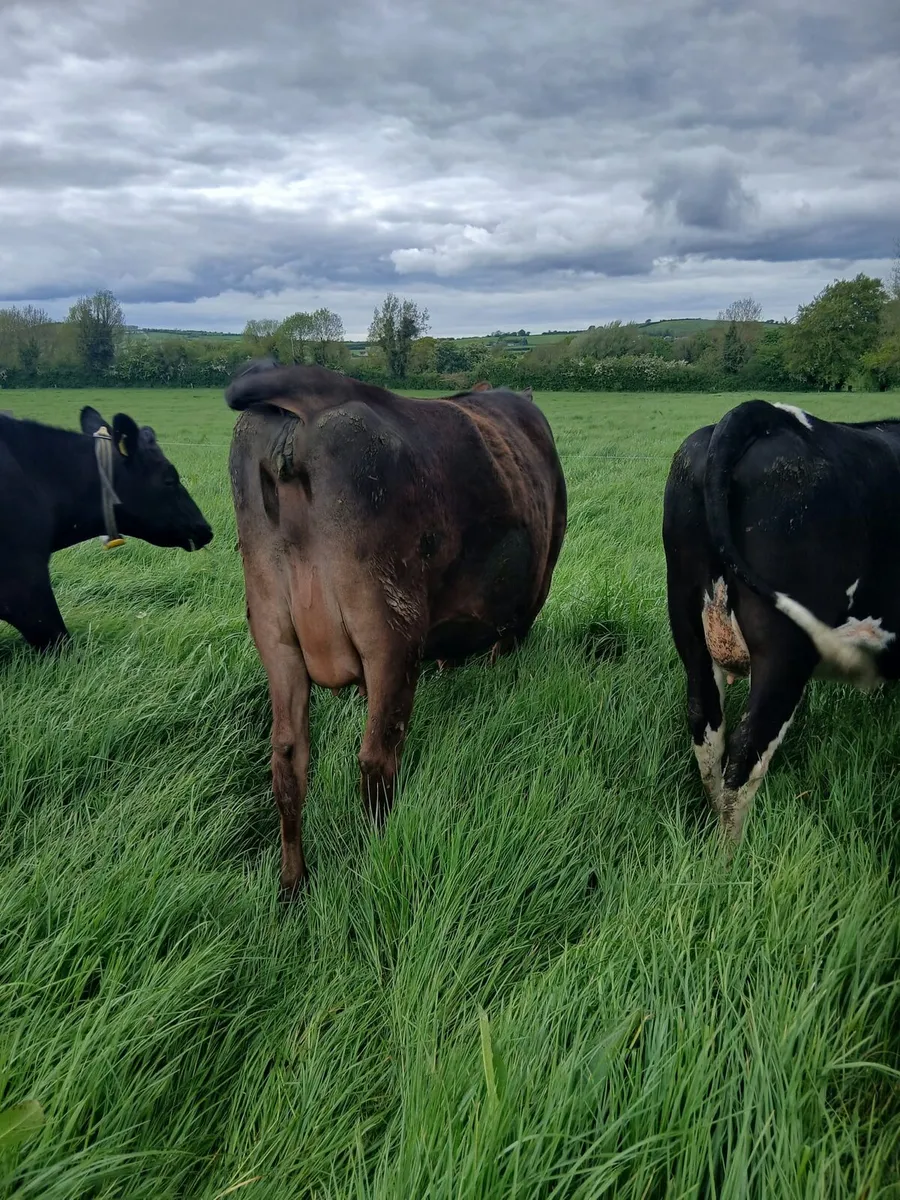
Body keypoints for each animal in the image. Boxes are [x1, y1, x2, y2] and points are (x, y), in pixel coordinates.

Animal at [226, 360, 567, 898]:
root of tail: (316, 396)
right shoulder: (525, 606)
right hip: (390, 633)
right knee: (375, 759)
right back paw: (374, 860)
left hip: (275, 636)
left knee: (288, 763)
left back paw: (293, 886)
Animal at [663, 397, 900, 842]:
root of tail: (762, 412)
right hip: (784, 652)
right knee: (747, 749)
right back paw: (729, 853)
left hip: (690, 627)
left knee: (706, 727)